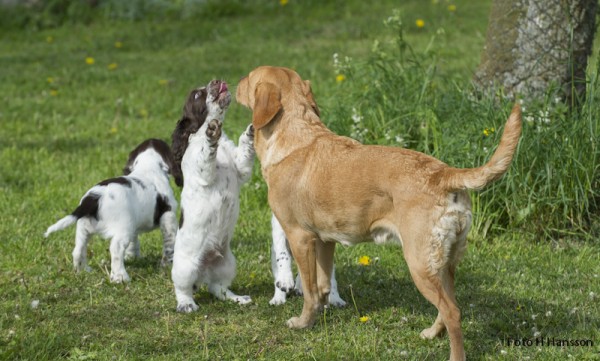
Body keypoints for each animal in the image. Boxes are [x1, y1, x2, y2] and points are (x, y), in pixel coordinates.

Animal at [44, 139, 180, 282]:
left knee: (77, 250)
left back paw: (83, 271)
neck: (148, 166)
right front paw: (167, 265)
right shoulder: (169, 216)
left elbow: (134, 243)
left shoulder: (134, 225)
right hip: (122, 229)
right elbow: (170, 244)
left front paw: (134, 258)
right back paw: (120, 278)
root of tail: (93, 199)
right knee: (115, 249)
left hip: (84, 228)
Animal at [170, 80, 254, 310]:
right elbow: (206, 155)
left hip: (227, 263)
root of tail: (203, 271)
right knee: (183, 288)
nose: (216, 81)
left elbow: (244, 155)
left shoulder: (240, 169)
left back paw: (237, 298)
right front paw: (211, 134)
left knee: (218, 288)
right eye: (197, 95)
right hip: (185, 267)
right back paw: (187, 305)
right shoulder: (201, 168)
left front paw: (250, 133)